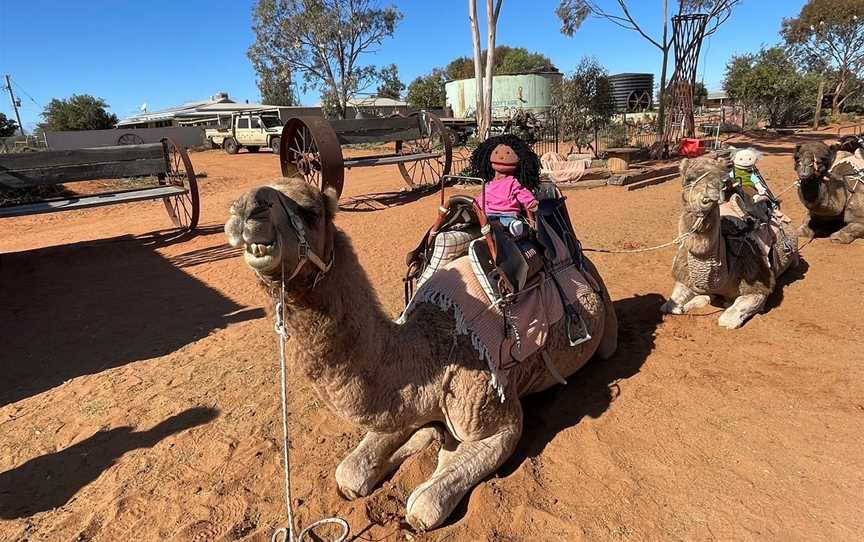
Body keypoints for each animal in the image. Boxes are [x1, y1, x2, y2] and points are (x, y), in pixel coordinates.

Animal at [221, 178, 616, 532]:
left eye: (310, 210)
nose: (245, 209)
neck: (430, 352)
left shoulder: (499, 420)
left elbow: (423, 506)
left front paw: (429, 456)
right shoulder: (406, 402)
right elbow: (350, 473)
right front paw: (419, 439)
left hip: (605, 327)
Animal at [660, 155, 804, 330]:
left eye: (721, 179)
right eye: (689, 178)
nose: (710, 194)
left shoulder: (758, 286)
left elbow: (727, 319)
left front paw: (722, 303)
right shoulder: (685, 277)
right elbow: (669, 306)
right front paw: (693, 302)